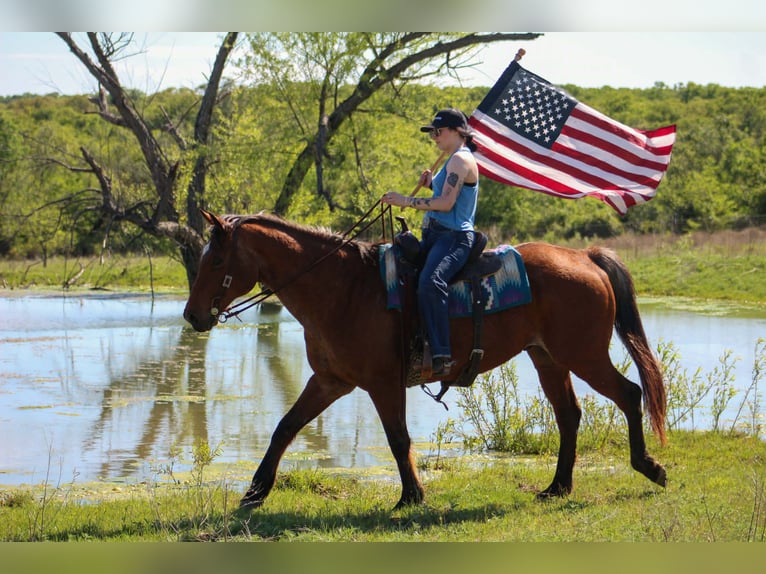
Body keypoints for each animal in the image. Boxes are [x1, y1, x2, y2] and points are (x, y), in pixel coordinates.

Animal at [183, 209, 667, 510]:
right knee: (569, 414)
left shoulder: (382, 383)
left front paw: (411, 495)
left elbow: (398, 439)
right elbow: (285, 427)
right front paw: (255, 491)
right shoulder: (329, 381)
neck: (344, 289)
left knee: (629, 394)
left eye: (218, 259)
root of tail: (583, 257)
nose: (191, 315)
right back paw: (558, 486)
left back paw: (648, 467)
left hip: (583, 355)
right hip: (548, 358)